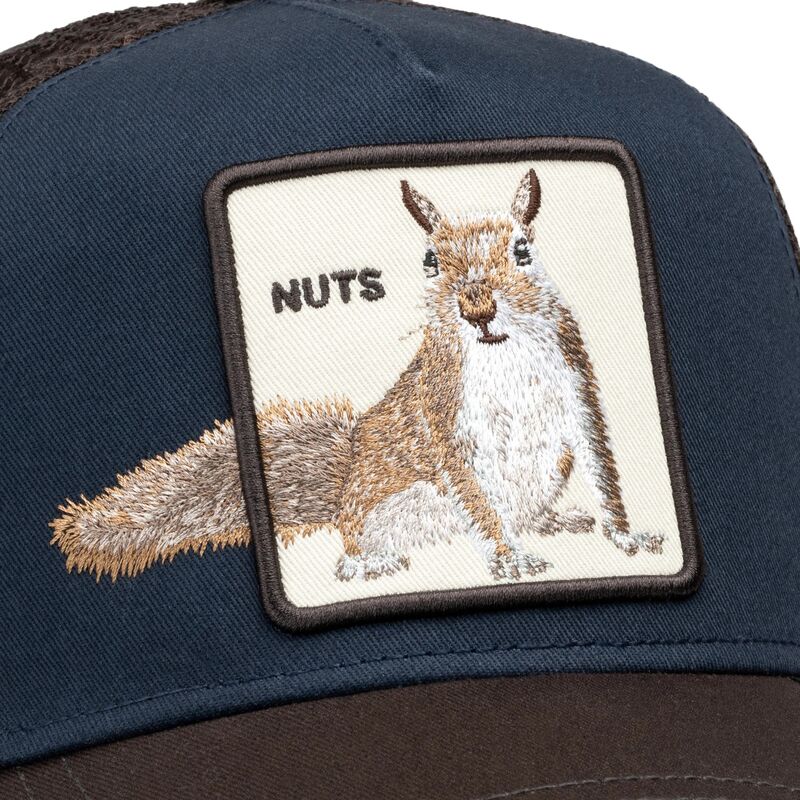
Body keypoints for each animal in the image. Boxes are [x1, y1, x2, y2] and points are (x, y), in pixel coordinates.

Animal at [51, 169, 663, 582]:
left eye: (524, 250)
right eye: (430, 263)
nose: (478, 308)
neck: (505, 357)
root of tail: (344, 488)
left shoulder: (576, 386)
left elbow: (602, 468)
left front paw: (626, 535)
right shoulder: (444, 414)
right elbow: (475, 496)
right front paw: (509, 559)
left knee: (524, 512)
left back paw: (554, 522)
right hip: (396, 507)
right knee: (359, 547)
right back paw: (372, 564)